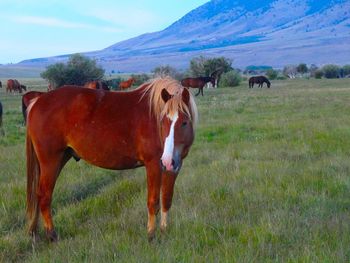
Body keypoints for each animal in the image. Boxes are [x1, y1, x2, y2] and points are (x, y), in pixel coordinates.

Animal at [26, 77, 198, 242]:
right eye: (163, 121)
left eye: (184, 122)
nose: (168, 159)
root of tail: (38, 101)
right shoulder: (154, 165)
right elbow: (153, 201)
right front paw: (151, 235)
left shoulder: (174, 166)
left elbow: (166, 199)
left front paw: (164, 231)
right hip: (51, 161)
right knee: (44, 196)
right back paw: (52, 235)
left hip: (60, 158)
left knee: (39, 196)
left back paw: (36, 233)